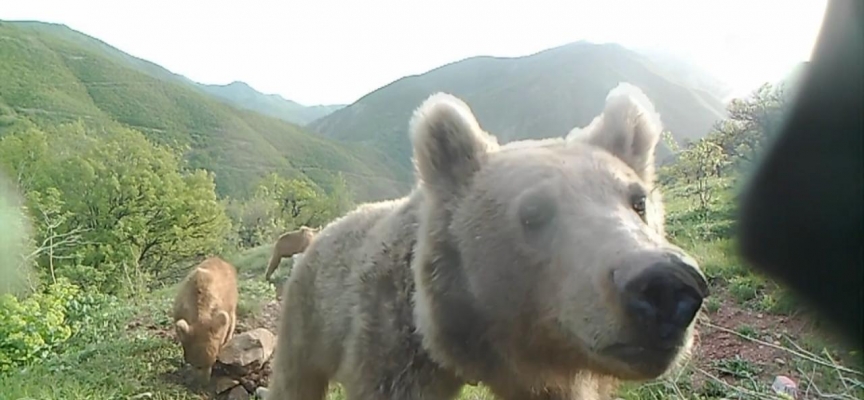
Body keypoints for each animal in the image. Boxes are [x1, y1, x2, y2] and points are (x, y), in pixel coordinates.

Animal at [264, 83, 708, 398]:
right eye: (533, 212)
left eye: (638, 201)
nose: (666, 285)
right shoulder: (393, 342)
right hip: (308, 314)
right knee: (294, 378)